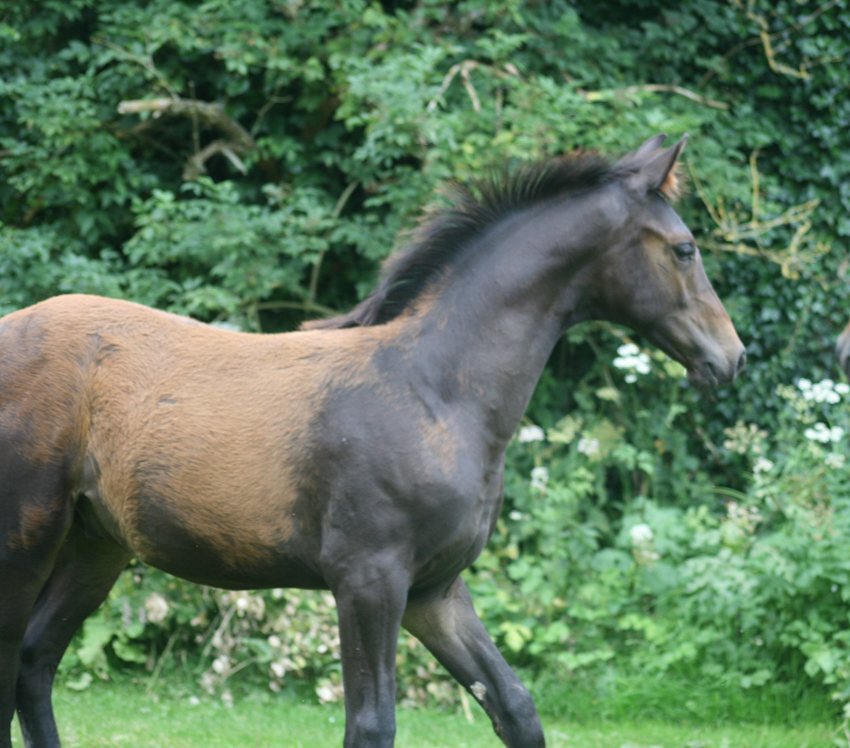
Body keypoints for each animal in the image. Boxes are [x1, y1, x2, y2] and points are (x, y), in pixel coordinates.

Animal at [0, 134, 745, 748]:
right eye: (685, 250)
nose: (731, 358)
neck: (434, 389)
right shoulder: (368, 580)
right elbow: (371, 725)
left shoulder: (435, 591)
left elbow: (515, 707)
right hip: (27, 539)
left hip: (95, 545)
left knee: (33, 663)